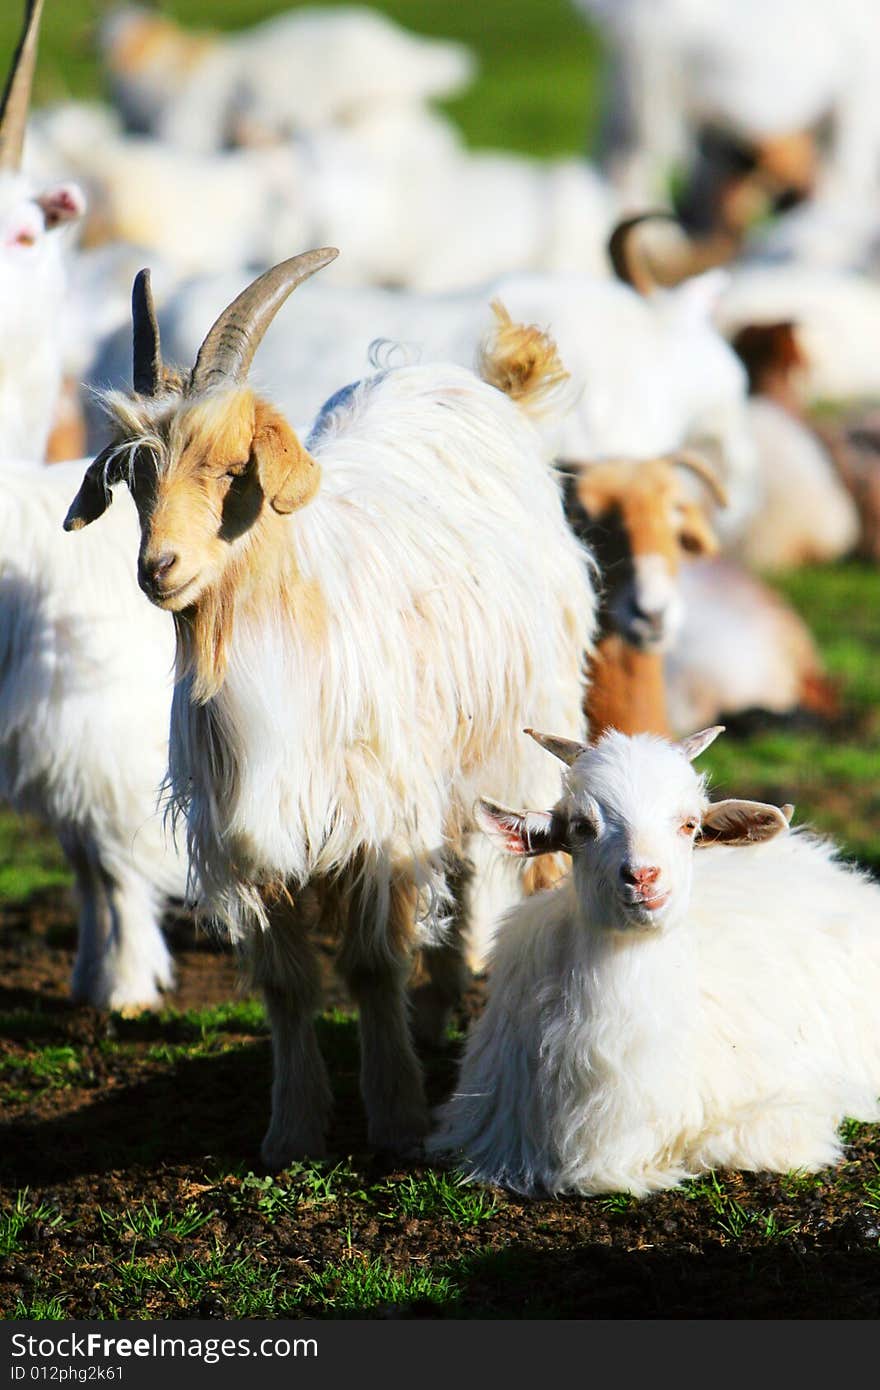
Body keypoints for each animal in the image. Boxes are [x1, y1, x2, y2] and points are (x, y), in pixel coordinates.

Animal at [63, 252, 597, 1173]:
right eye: (134, 476)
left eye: (230, 467)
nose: (158, 568)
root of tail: (476, 384)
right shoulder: (249, 832)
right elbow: (288, 983)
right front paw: (291, 1130)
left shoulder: (374, 820)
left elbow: (372, 965)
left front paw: (398, 1120)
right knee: (459, 869)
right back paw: (439, 1009)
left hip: (522, 725)